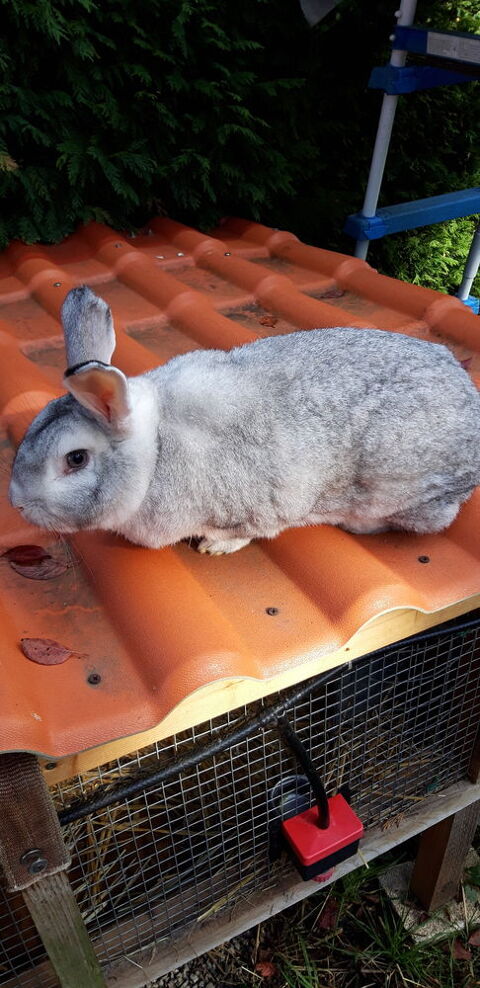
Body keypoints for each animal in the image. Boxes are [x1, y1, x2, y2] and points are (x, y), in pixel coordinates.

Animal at [9, 285, 480, 555]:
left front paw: (214, 549)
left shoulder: (256, 509)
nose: (16, 503)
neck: (156, 451)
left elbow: (253, 530)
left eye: (75, 460)